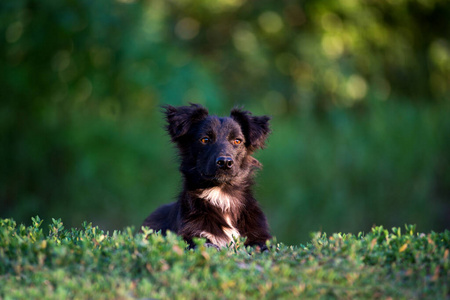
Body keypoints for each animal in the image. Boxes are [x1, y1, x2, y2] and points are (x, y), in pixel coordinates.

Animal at [142, 104, 272, 250]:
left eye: (237, 141)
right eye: (205, 139)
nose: (225, 162)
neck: (222, 194)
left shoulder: (258, 235)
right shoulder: (190, 234)